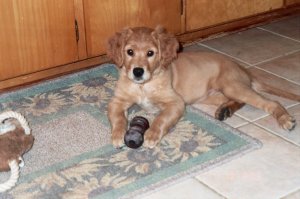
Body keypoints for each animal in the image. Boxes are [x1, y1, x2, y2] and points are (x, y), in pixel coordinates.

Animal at [106, 26, 298, 148]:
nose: (138, 71)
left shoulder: (176, 102)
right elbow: (118, 118)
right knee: (238, 101)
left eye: (150, 53)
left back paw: (285, 120)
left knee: (271, 102)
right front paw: (117, 135)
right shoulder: (117, 101)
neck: (143, 86)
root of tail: (243, 69)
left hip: (232, 86)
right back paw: (224, 110)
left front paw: (152, 135)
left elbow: (161, 118)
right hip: (214, 94)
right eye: (130, 52)